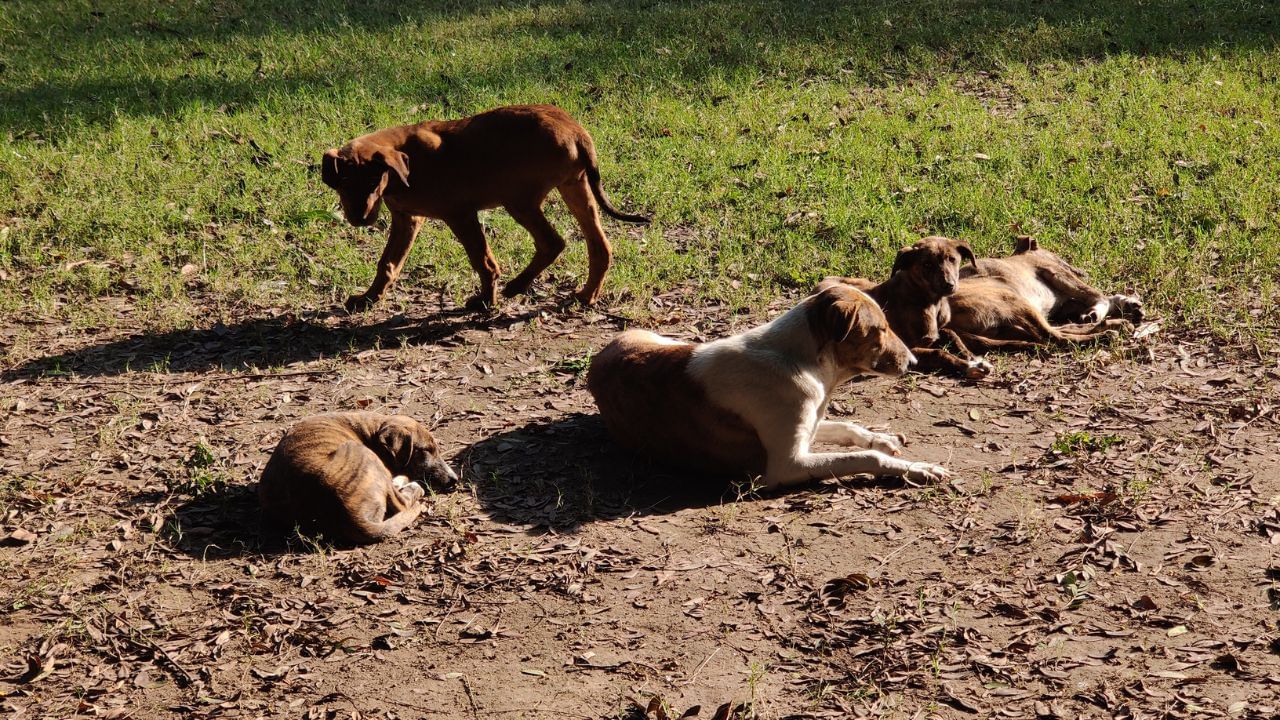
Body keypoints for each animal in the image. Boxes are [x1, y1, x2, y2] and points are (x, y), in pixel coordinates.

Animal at [320, 103, 650, 311]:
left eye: (373, 183)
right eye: (344, 183)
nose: (361, 219)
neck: (406, 169)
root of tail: (576, 130)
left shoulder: (460, 215)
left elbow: (483, 261)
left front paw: (485, 302)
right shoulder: (407, 219)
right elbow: (387, 264)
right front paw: (368, 299)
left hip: (520, 200)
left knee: (552, 242)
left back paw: (516, 286)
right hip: (575, 189)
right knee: (599, 246)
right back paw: (587, 295)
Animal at [586, 281, 952, 486]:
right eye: (880, 330)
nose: (914, 362)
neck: (804, 365)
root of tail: (601, 356)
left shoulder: (809, 424)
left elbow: (847, 427)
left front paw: (882, 438)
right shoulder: (786, 464)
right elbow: (867, 458)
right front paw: (920, 469)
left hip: (664, 339)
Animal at [814, 237, 993, 381]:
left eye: (952, 259)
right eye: (927, 264)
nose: (949, 285)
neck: (928, 301)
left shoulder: (938, 331)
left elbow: (953, 335)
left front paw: (971, 356)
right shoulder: (910, 349)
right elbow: (939, 353)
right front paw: (968, 366)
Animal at [952, 234, 1152, 351]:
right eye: (1059, 256)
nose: (1083, 272)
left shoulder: (1063, 303)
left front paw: (1127, 304)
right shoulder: (1054, 272)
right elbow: (1098, 296)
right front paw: (1107, 308)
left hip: (1009, 325)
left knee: (1058, 330)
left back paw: (1113, 324)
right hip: (1012, 300)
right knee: (1054, 337)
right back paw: (1105, 334)